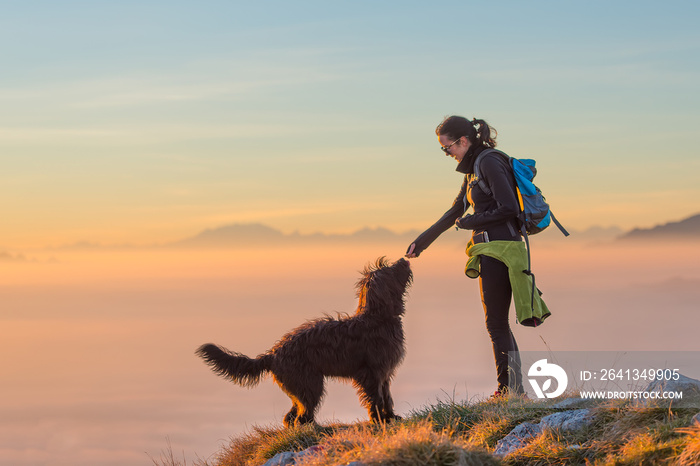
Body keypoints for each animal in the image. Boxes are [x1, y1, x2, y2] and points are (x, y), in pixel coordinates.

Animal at [194, 256, 412, 428]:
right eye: (390, 269)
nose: (404, 260)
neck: (377, 318)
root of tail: (272, 354)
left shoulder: (384, 373)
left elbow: (387, 396)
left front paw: (391, 417)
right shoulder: (371, 374)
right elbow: (376, 398)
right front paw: (379, 420)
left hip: (300, 386)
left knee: (292, 415)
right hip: (310, 383)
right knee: (302, 415)